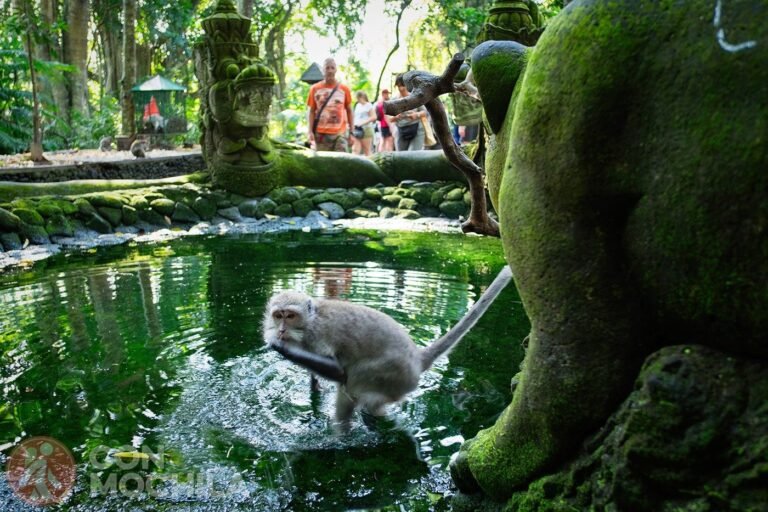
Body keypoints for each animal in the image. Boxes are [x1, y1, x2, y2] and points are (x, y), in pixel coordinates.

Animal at [263, 265, 512, 427]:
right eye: (278, 315)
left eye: (290, 316)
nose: (282, 329)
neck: (310, 321)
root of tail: (416, 357)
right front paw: (314, 390)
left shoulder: (318, 337)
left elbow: (337, 369)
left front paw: (281, 347)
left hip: (394, 375)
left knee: (353, 381)